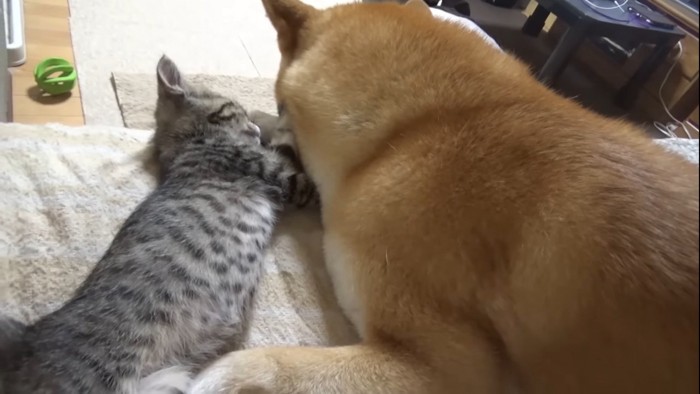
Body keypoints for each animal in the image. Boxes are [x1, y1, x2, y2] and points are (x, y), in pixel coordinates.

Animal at [0, 55, 314, 394]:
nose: (254, 128)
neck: (191, 143)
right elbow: (298, 153)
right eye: (235, 109)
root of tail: (24, 345)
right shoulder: (289, 179)